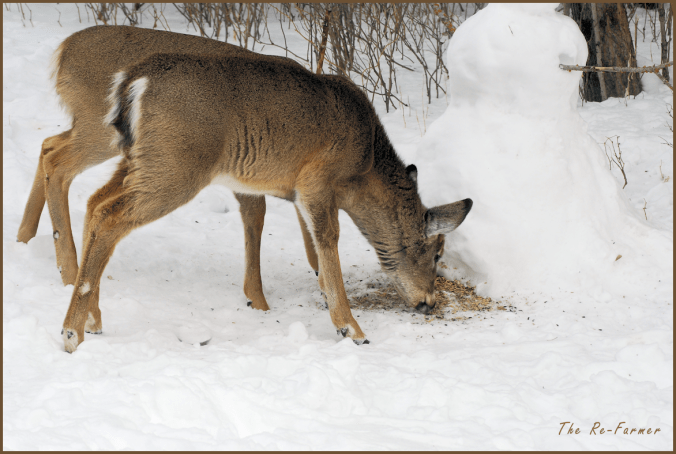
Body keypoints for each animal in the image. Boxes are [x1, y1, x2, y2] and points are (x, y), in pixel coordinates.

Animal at [59, 50, 472, 353]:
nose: (429, 303)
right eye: (437, 253)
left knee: (95, 203)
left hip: (139, 159)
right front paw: (351, 329)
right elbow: (328, 242)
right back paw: (71, 333)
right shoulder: (315, 179)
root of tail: (133, 82)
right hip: (176, 165)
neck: (365, 164)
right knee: (110, 216)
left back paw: (93, 319)